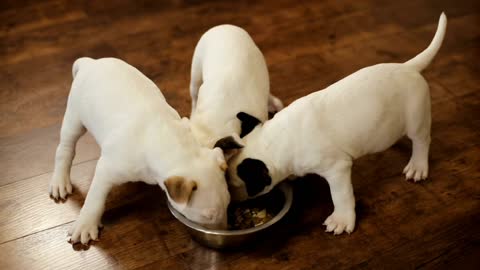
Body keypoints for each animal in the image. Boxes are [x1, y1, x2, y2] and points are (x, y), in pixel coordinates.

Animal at [50, 57, 234, 245]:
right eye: (208, 216)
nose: (225, 229)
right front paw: (85, 225)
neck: (170, 142)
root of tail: (90, 63)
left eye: (228, 204)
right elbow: (95, 198)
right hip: (74, 117)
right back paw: (60, 180)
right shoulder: (107, 169)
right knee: (65, 149)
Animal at [227, 13, 448, 235]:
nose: (230, 204)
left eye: (235, 185)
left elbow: (340, 196)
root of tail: (407, 67)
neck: (277, 139)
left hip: (416, 116)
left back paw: (418, 166)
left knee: (421, 141)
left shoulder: (337, 169)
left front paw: (341, 219)